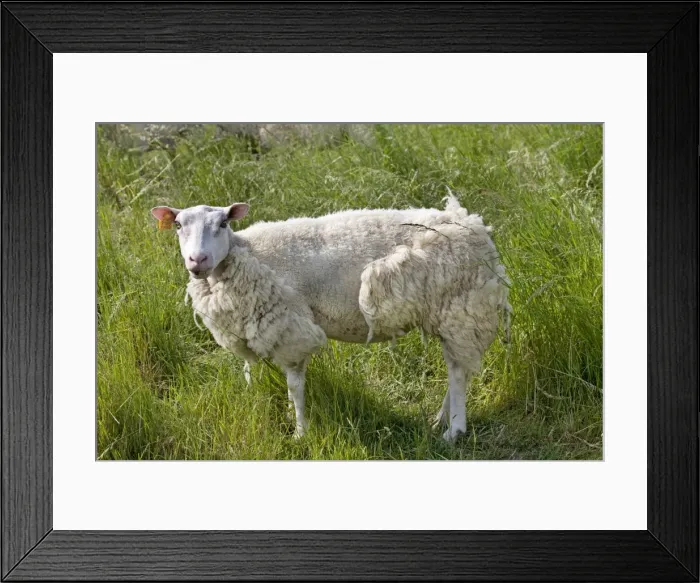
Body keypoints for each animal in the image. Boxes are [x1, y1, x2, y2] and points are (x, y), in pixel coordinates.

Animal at [151, 195, 511, 441]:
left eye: (223, 223)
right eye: (179, 226)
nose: (197, 260)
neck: (245, 253)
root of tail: (475, 226)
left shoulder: (290, 328)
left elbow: (295, 385)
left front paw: (300, 432)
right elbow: (258, 375)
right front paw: (269, 409)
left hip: (460, 306)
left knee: (458, 371)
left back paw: (455, 430)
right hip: (449, 312)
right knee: (458, 364)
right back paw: (440, 419)